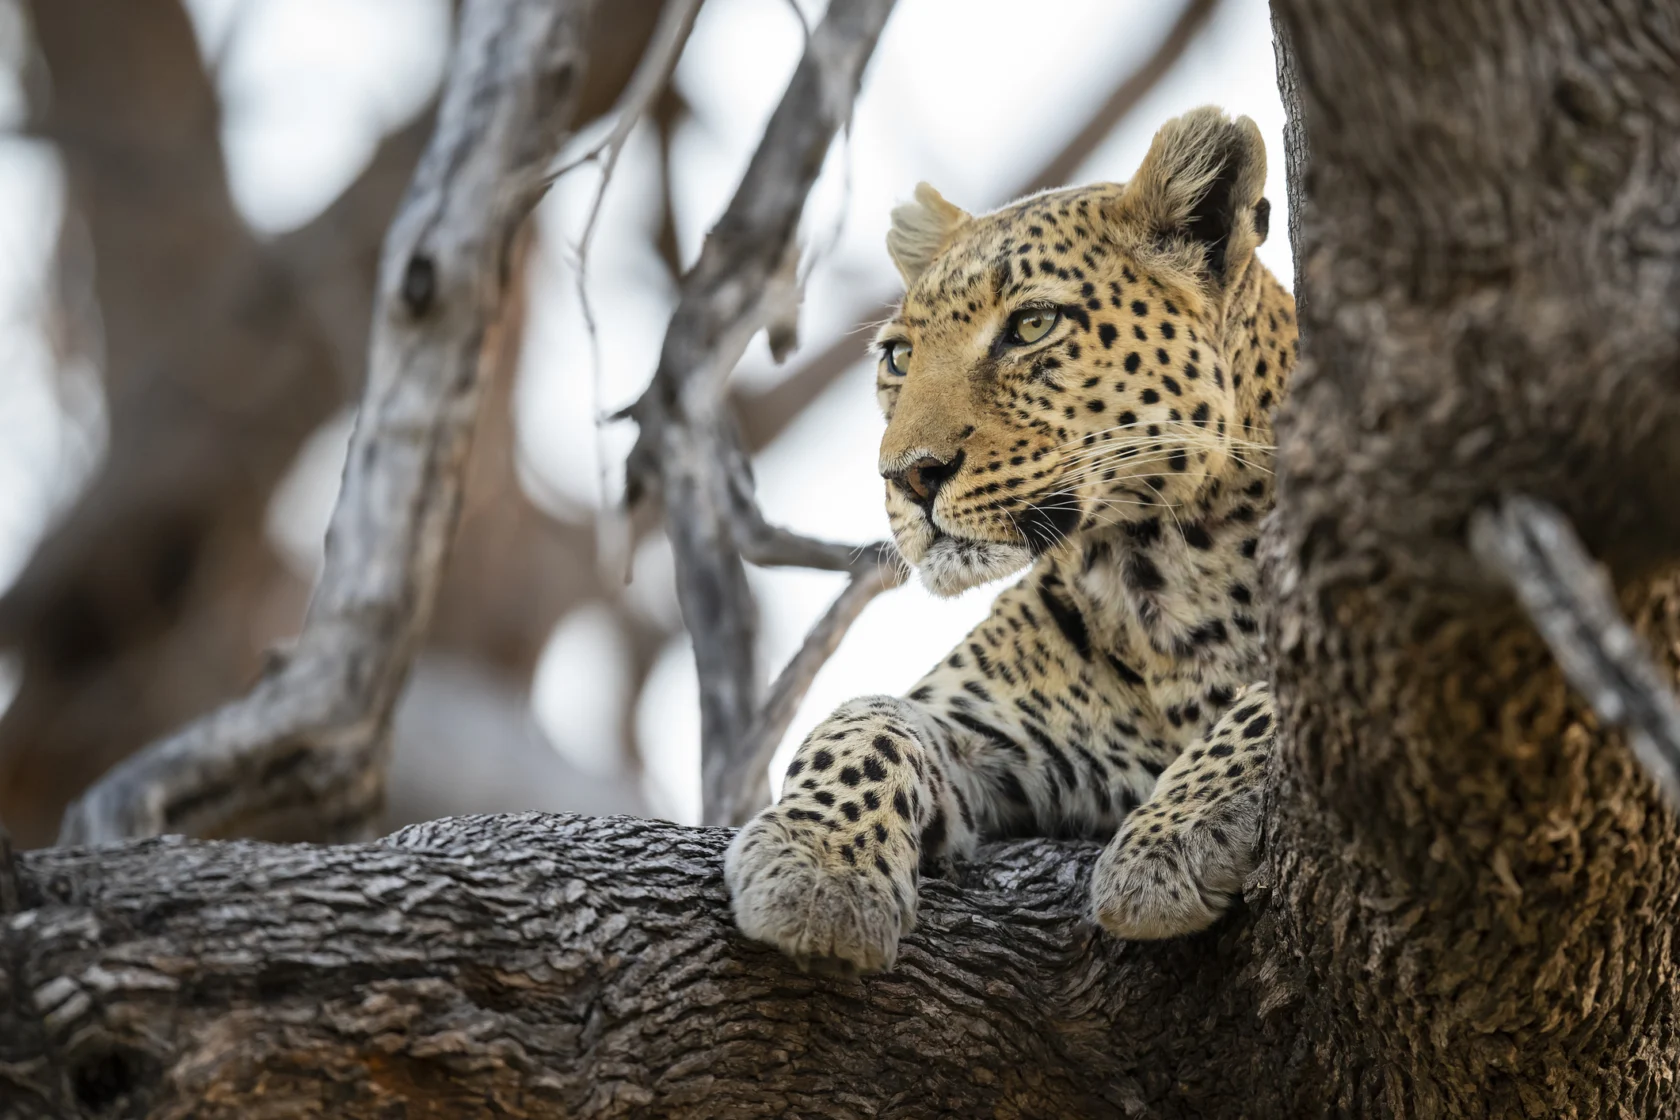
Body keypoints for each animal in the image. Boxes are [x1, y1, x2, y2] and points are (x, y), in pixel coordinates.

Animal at [725, 109, 1296, 973]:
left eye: (1032, 325)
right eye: (899, 356)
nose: (909, 475)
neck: (1158, 574)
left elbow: (1273, 700)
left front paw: (1170, 835)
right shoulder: (990, 737)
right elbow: (865, 716)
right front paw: (818, 861)